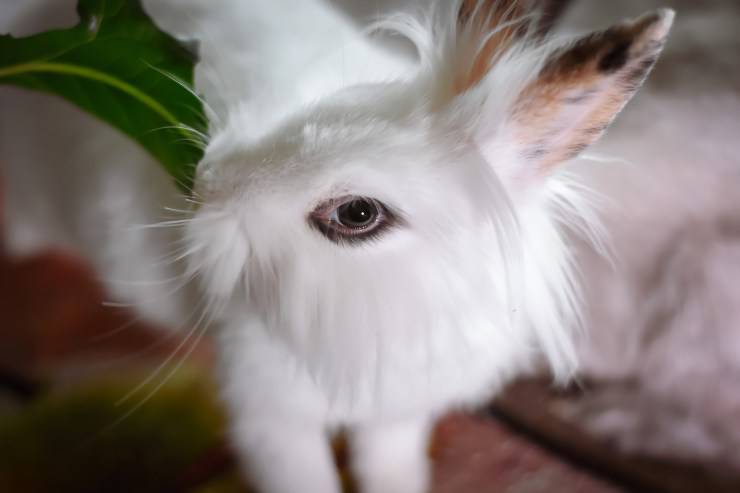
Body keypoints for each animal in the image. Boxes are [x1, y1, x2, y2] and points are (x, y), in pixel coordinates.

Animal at [0, 0, 674, 492]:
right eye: (311, 121)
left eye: (357, 214)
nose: (206, 187)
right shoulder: (271, 415)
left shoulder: (399, 414)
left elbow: (390, 468)